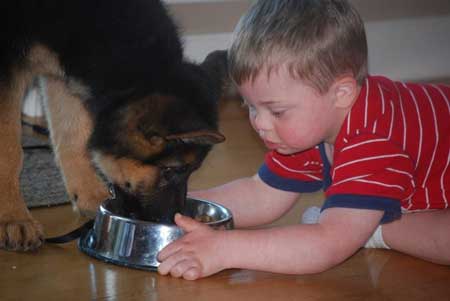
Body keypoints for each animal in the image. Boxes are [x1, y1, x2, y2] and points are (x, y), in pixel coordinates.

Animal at [0, 0, 227, 250]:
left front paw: (90, 196)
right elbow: (9, 151)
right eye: (171, 170)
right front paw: (13, 217)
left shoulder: (62, 71)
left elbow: (72, 136)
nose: (172, 220)